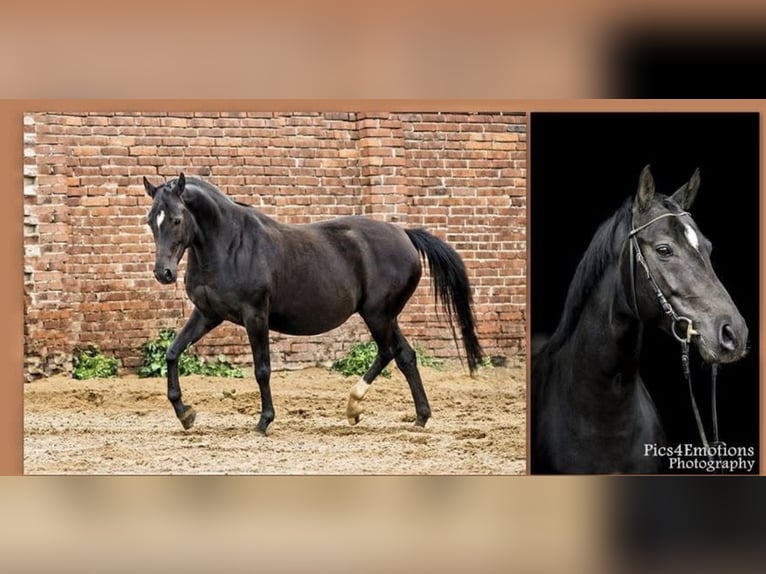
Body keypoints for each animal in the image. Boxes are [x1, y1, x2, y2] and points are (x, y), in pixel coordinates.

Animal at [142, 173, 483, 434]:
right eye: (150, 221)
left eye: (176, 219)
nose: (163, 273)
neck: (230, 245)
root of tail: (405, 234)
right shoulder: (208, 314)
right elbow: (172, 353)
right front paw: (185, 414)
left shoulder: (255, 315)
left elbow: (262, 369)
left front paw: (264, 422)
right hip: (386, 316)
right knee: (406, 357)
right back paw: (416, 417)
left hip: (378, 315)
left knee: (389, 352)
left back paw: (354, 406)